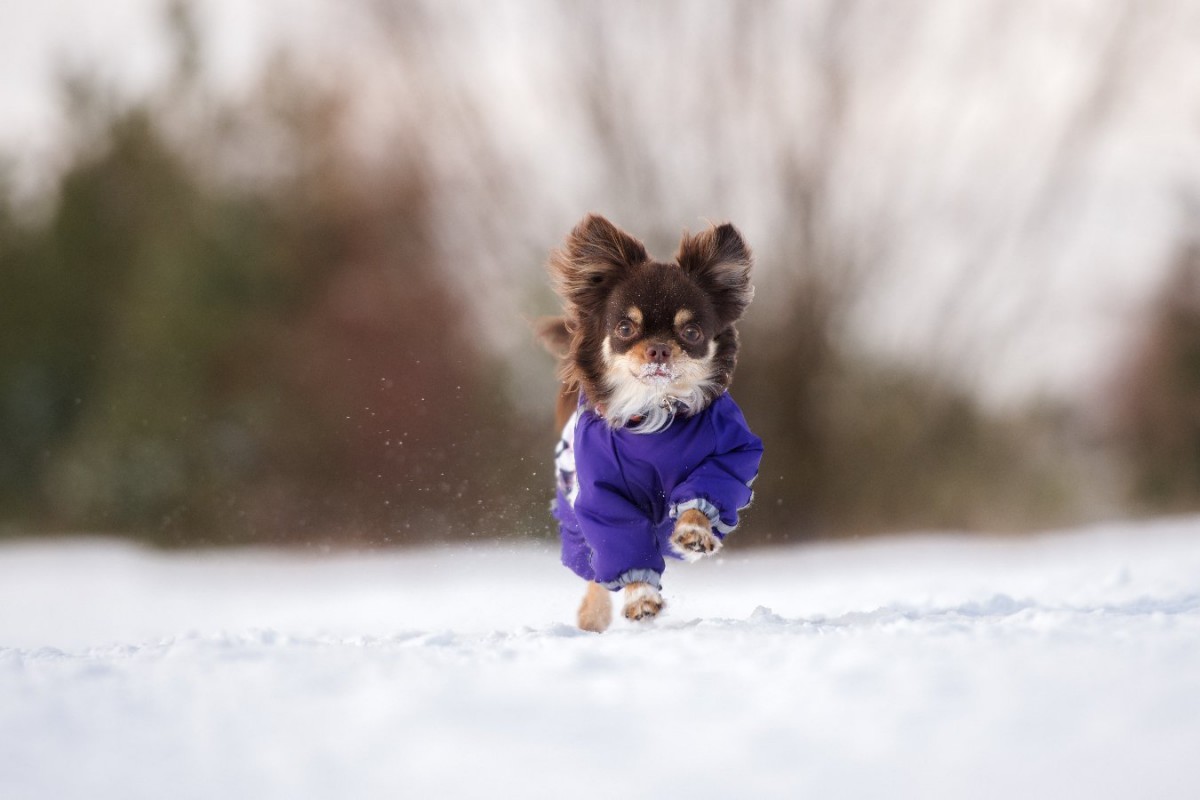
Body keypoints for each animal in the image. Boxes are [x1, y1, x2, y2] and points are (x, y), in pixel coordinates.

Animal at [542, 212, 763, 633]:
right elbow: (622, 548)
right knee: (594, 570)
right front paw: (641, 598)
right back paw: (593, 614)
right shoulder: (602, 497)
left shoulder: (729, 457)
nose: (659, 349)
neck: (655, 418)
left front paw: (693, 531)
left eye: (691, 332)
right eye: (625, 328)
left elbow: (701, 495)